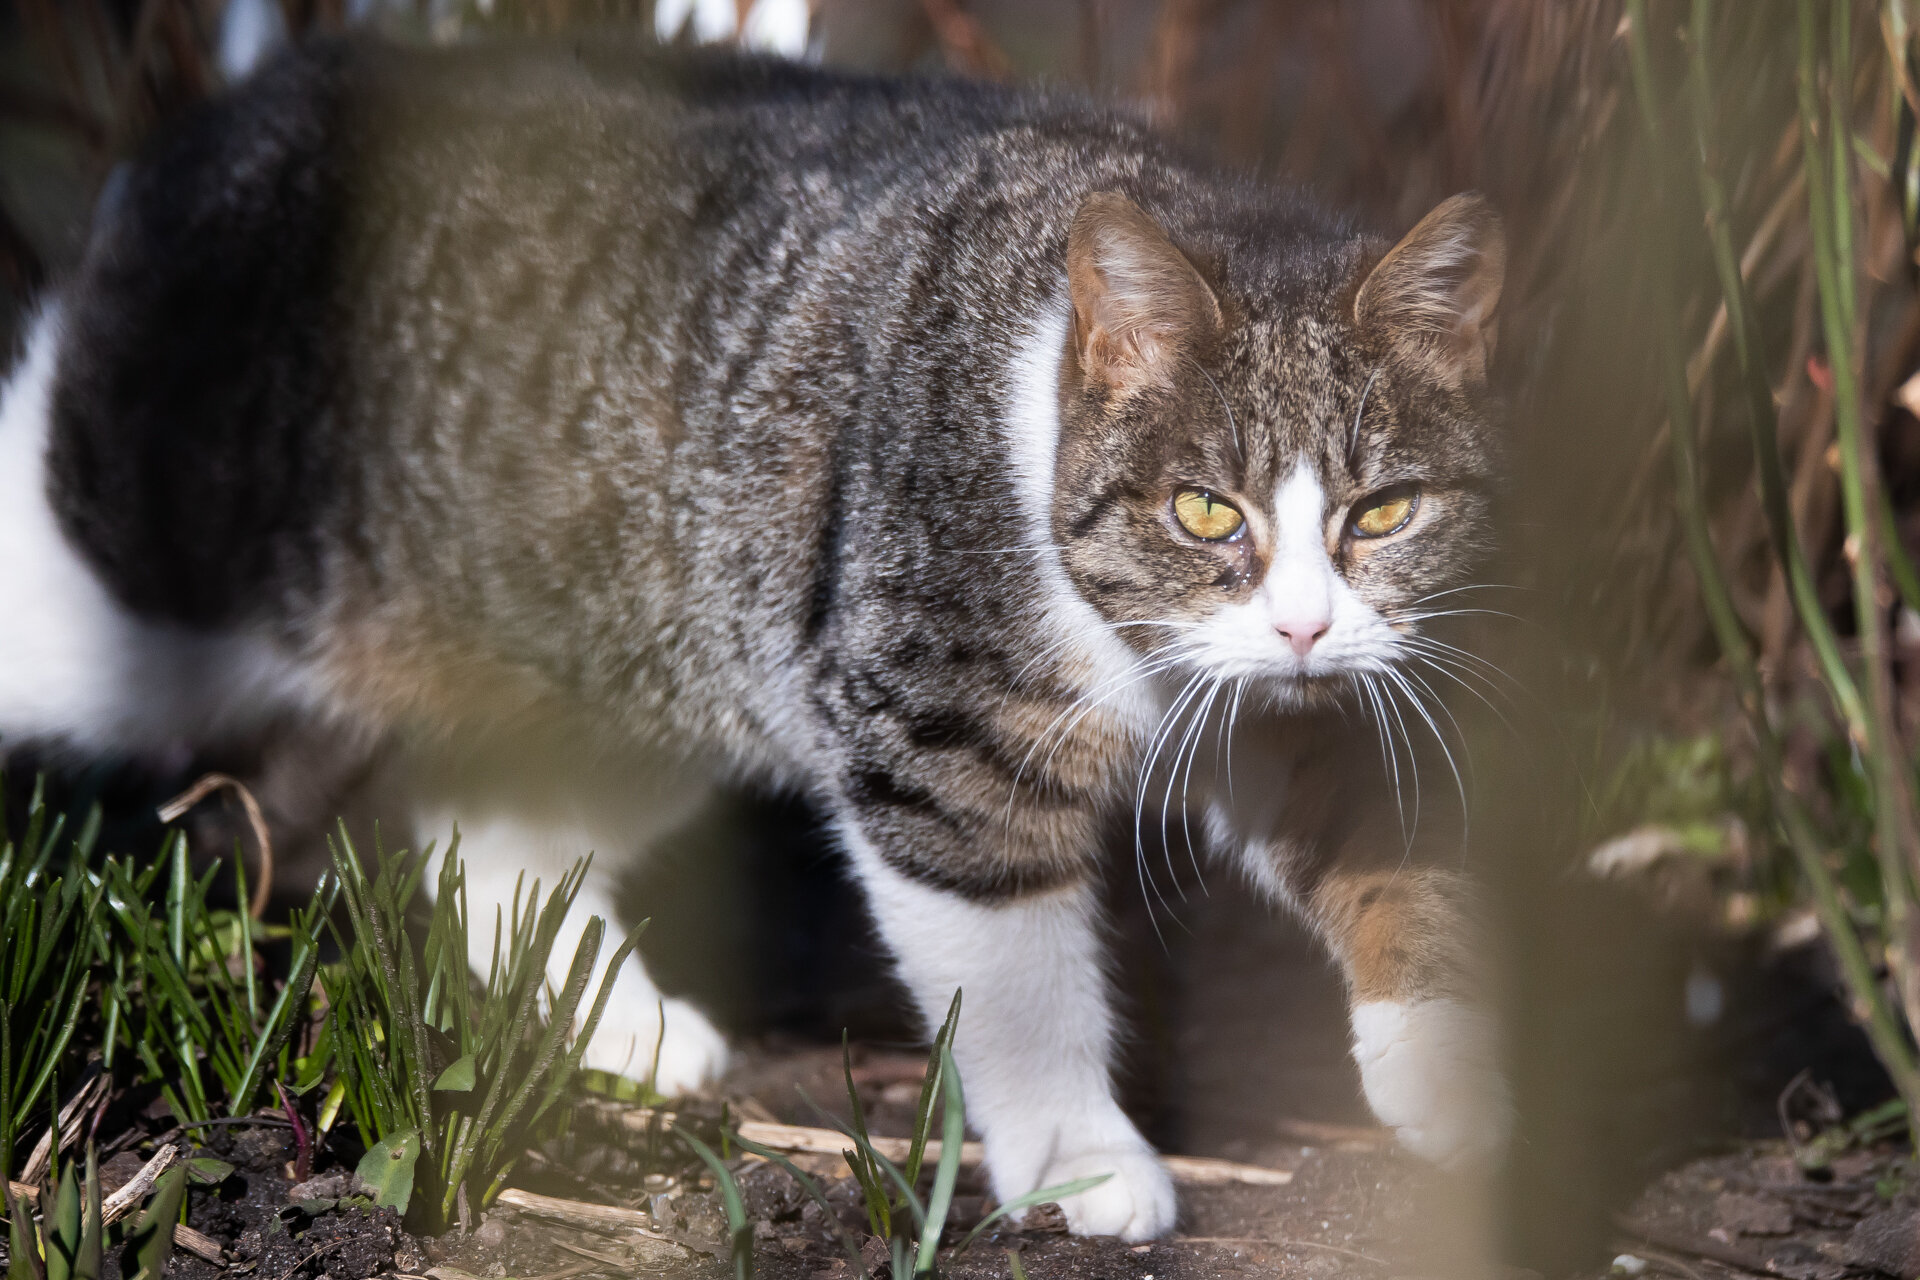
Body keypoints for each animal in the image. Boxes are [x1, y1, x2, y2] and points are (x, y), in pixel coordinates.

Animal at [0, 40, 1512, 1243]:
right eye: (1207, 509)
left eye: (1384, 510)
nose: (1303, 620)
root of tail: (233, 115)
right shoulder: (935, 736)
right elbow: (1015, 976)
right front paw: (1080, 1157)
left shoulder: (1306, 692)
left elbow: (1380, 832)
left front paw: (1448, 1060)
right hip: (137, 571)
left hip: (657, 648)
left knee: (491, 825)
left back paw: (623, 1022)